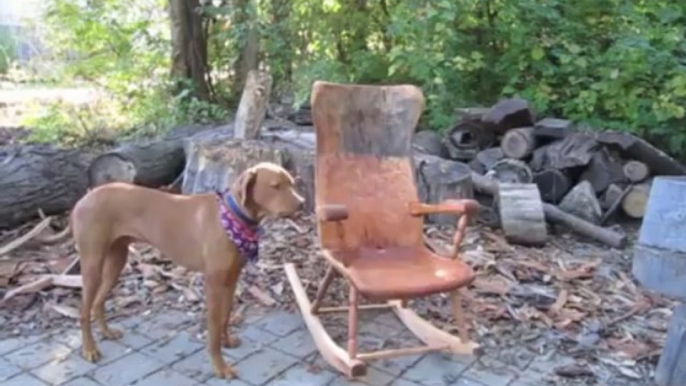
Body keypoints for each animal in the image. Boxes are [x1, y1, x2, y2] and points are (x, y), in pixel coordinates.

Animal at [63, 161, 304, 378]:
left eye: (291, 183)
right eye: (275, 186)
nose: (302, 203)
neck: (233, 216)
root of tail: (82, 200)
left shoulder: (231, 279)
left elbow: (225, 317)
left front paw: (227, 341)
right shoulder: (213, 284)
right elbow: (213, 329)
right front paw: (220, 367)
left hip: (117, 260)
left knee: (98, 302)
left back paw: (107, 332)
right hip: (92, 263)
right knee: (83, 311)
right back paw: (90, 349)